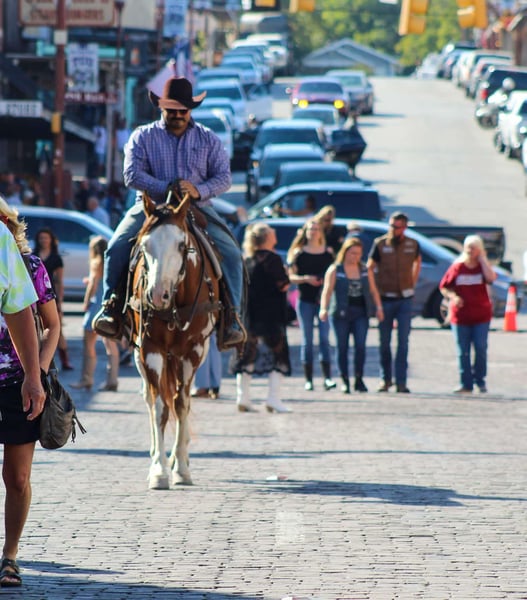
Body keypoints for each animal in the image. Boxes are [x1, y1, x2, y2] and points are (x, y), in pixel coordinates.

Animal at [127, 192, 222, 489]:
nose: (157, 295)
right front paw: (159, 470)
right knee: (150, 398)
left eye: (182, 245)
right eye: (144, 245)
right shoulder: (150, 350)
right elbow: (160, 407)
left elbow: (181, 405)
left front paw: (180, 467)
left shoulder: (192, 351)